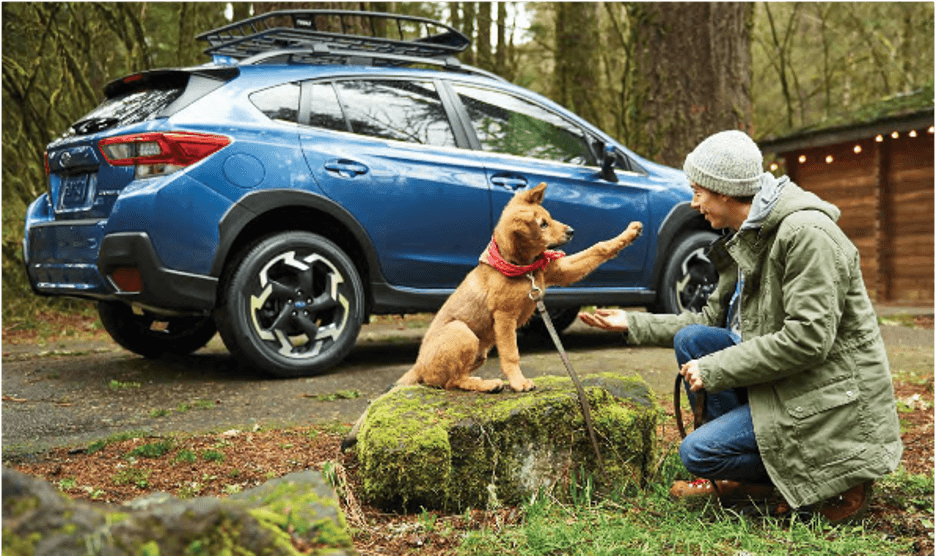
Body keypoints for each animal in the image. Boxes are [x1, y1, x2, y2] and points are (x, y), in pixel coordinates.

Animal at [344, 185, 644, 450]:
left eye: (549, 218)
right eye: (542, 224)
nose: (571, 231)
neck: (523, 268)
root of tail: (418, 365)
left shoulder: (559, 270)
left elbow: (599, 249)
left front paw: (630, 233)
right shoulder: (504, 317)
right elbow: (511, 355)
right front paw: (519, 383)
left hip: (479, 350)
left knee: (452, 378)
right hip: (462, 332)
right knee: (449, 382)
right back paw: (489, 385)